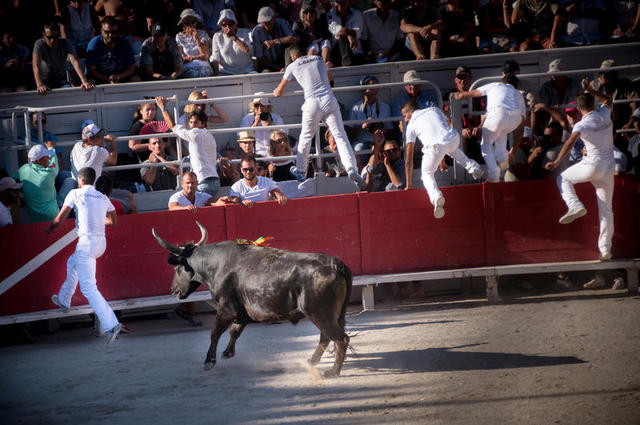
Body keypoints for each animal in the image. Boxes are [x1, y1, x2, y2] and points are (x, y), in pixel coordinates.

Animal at [154, 222, 356, 378]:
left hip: (320, 313)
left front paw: (209, 361)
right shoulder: (240, 311)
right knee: (327, 337)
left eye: (177, 269)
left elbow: (215, 332)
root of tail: (335, 264)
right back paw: (312, 361)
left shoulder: (226, 309)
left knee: (339, 338)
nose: (173, 290)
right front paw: (227, 353)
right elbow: (234, 331)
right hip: (333, 315)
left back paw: (333, 371)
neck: (217, 265)